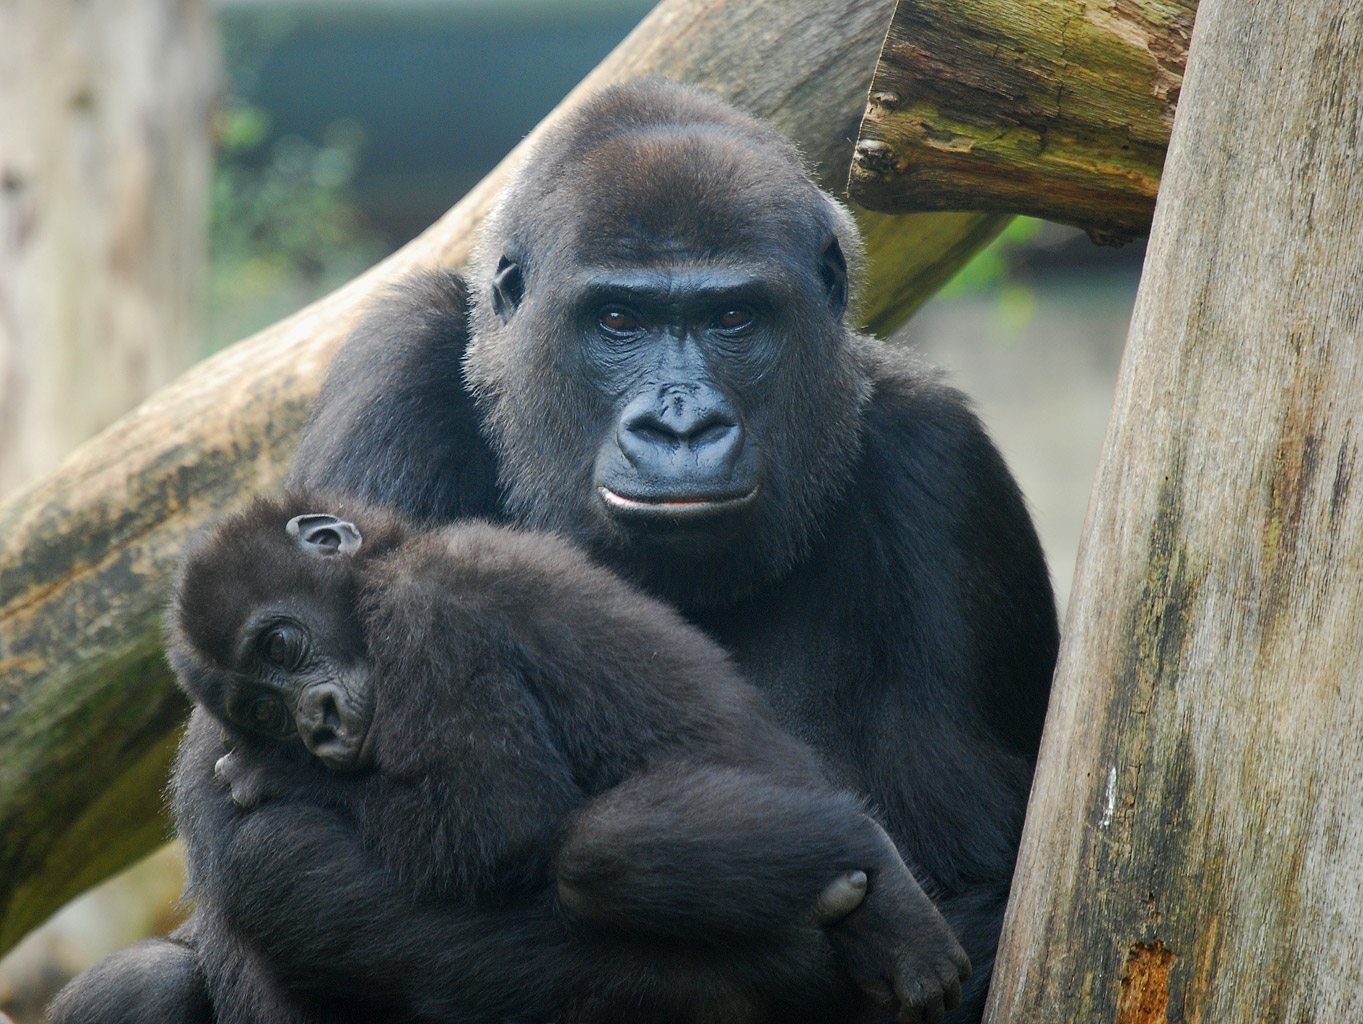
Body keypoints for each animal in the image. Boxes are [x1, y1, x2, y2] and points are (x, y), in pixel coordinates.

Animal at [53, 496, 970, 1024]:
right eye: (261, 710)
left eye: (281, 646)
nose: (311, 725)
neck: (384, 566)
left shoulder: (429, 609)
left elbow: (493, 822)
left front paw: (286, 777)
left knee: (596, 856)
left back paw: (862, 852)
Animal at [287, 78, 1057, 1019]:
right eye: (617, 318)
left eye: (733, 317)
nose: (681, 428)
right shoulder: (392, 373)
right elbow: (269, 824)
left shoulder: (946, 470)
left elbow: (999, 891)